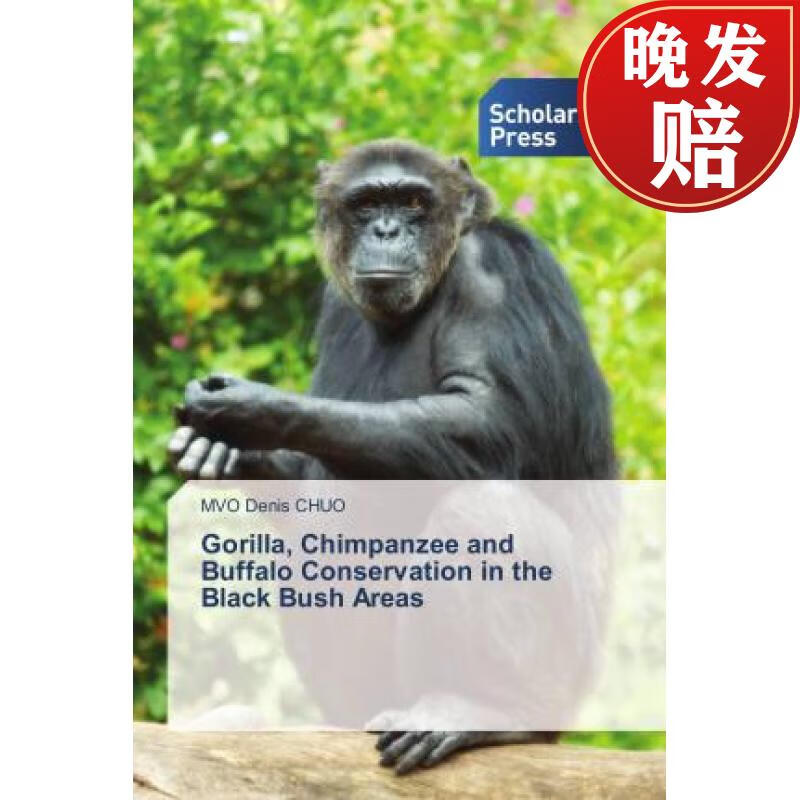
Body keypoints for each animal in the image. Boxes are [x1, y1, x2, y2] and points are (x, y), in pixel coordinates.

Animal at [168, 139, 616, 773]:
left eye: (412, 202)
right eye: (365, 205)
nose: (385, 229)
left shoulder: (494, 276)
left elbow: (490, 416)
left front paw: (248, 408)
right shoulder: (336, 305)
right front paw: (224, 451)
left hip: (564, 689)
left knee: (481, 514)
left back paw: (483, 707)